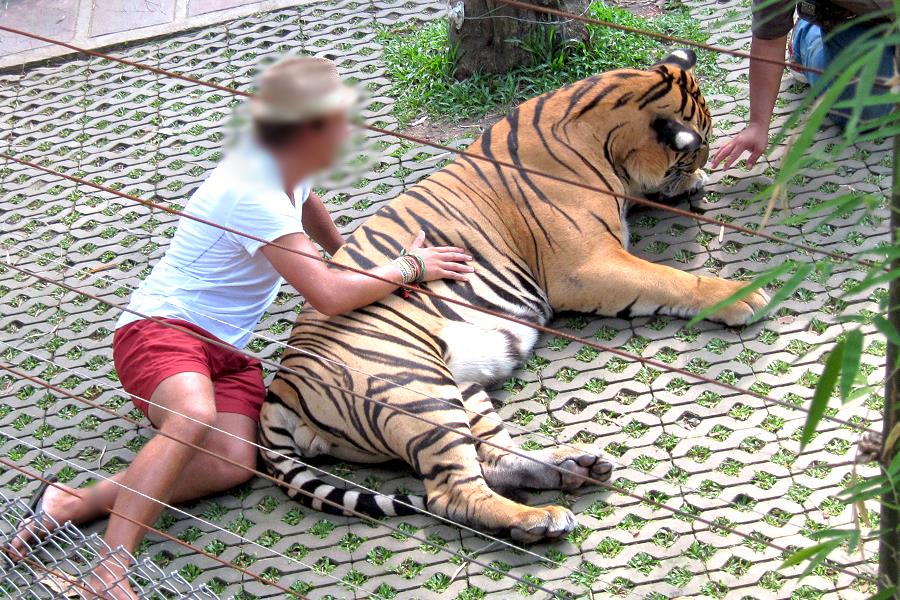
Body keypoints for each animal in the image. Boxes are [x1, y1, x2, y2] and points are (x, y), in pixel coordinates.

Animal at [259, 49, 769, 542]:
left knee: (492, 460)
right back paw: (540, 520)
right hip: (415, 390)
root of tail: (280, 387)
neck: (601, 129)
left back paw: (575, 468)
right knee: (452, 492)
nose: (699, 167)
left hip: (459, 388)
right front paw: (742, 295)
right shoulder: (585, 267)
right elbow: (668, 278)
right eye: (693, 152)